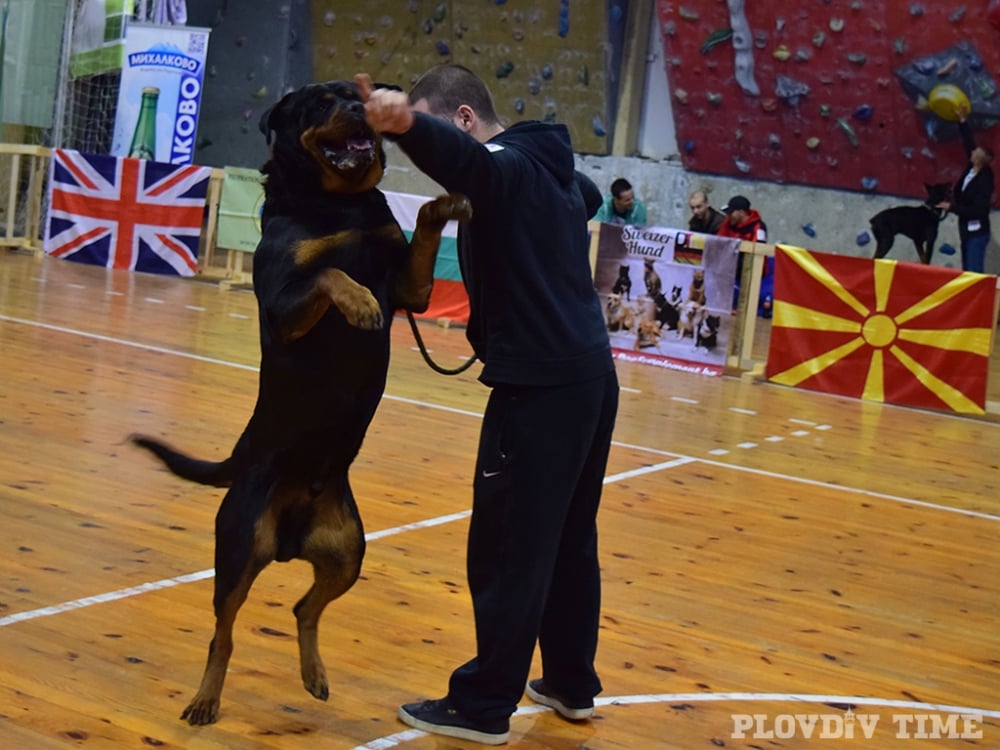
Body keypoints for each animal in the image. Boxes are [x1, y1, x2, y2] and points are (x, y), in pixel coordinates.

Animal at [131, 81, 470, 728]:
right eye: (317, 103)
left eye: (358, 95)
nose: (363, 109)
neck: (340, 205)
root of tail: (290, 536)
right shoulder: (284, 303)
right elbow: (330, 275)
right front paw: (360, 305)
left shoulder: (411, 288)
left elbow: (419, 231)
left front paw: (446, 205)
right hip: (240, 547)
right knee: (224, 631)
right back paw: (205, 700)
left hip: (348, 552)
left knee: (304, 610)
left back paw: (314, 674)